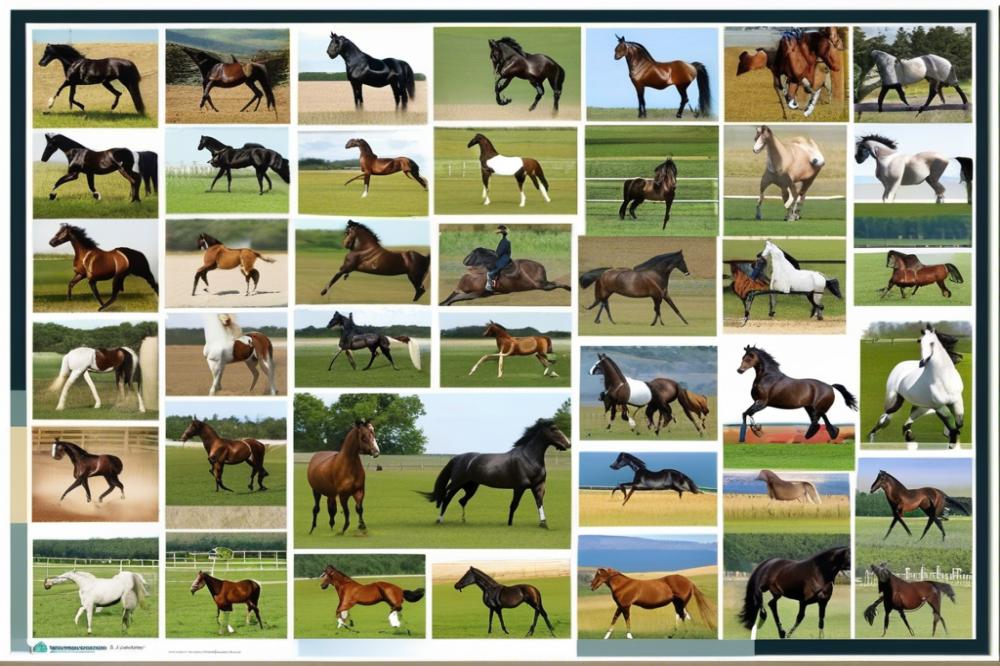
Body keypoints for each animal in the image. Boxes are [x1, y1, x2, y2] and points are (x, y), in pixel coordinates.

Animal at [421, 418, 570, 527]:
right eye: (554, 430)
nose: (568, 444)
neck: (528, 458)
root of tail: (458, 457)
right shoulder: (519, 487)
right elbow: (514, 505)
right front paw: (509, 524)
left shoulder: (538, 486)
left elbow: (539, 503)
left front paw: (544, 524)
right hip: (457, 483)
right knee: (446, 498)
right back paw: (439, 520)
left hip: (471, 487)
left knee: (461, 500)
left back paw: (463, 520)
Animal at [440, 246, 569, 306]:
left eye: (473, 253)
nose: (465, 261)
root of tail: (540, 266)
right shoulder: (459, 290)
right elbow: (450, 298)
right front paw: (443, 303)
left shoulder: (479, 294)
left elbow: (458, 298)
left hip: (542, 285)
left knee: (555, 284)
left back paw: (568, 288)